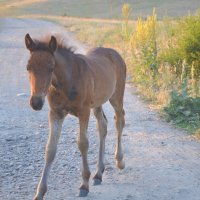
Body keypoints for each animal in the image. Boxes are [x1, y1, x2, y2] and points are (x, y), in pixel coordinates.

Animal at [24, 32, 126, 198]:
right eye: (28, 67)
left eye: (51, 68)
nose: (36, 103)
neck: (66, 81)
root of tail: (114, 52)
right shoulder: (56, 113)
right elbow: (50, 149)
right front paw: (40, 192)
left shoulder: (83, 111)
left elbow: (83, 143)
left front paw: (84, 184)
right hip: (97, 103)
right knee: (103, 126)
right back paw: (98, 174)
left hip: (116, 96)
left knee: (119, 121)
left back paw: (120, 161)